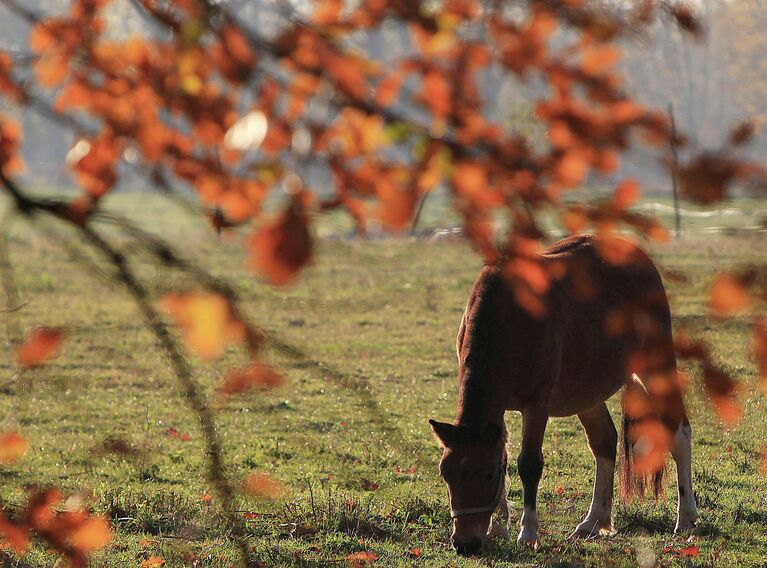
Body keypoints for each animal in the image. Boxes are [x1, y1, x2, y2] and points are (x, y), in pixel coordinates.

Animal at [428, 234, 700, 556]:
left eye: (487, 474)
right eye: (446, 474)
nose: (466, 544)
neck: (508, 318)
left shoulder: (536, 405)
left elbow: (528, 464)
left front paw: (528, 533)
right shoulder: (498, 408)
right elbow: (504, 452)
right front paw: (498, 528)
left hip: (655, 365)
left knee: (679, 432)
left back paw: (686, 518)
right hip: (587, 391)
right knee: (604, 441)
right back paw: (594, 521)